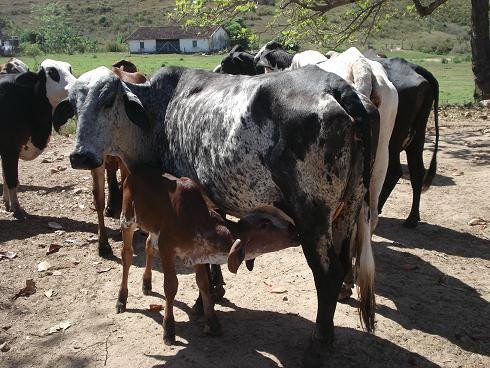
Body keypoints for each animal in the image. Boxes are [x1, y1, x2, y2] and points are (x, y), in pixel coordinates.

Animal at [117, 167, 300, 344]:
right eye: (264, 225)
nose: (293, 229)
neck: (197, 221)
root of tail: (131, 173)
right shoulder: (166, 247)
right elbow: (170, 286)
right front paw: (168, 329)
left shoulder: (198, 253)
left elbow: (203, 283)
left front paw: (212, 323)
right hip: (127, 219)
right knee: (127, 255)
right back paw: (121, 300)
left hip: (152, 228)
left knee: (148, 245)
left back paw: (146, 283)